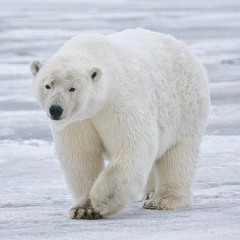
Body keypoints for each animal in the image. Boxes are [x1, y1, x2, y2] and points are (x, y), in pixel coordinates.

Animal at [30, 27, 210, 219]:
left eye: (72, 88)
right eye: (47, 85)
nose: (56, 109)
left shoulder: (119, 102)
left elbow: (133, 144)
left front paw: (102, 201)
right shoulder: (77, 121)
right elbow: (81, 155)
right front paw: (83, 209)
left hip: (186, 111)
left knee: (177, 156)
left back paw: (163, 200)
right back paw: (149, 193)